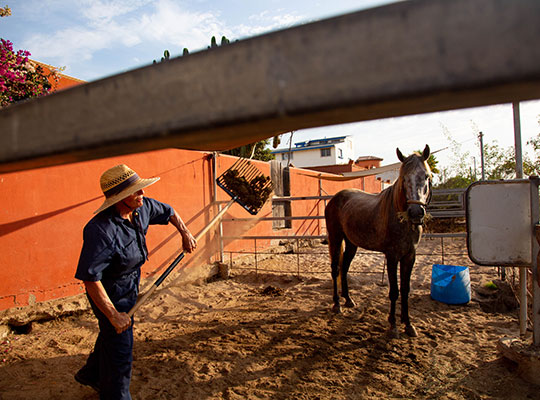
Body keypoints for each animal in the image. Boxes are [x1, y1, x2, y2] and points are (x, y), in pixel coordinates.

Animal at [324, 145, 430, 336]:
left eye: (426, 176)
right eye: (404, 178)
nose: (416, 212)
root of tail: (334, 199)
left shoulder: (409, 256)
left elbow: (405, 290)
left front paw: (408, 324)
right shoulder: (392, 256)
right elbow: (394, 291)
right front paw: (393, 325)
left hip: (351, 244)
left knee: (344, 268)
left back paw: (348, 300)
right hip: (336, 239)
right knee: (335, 269)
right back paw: (337, 305)